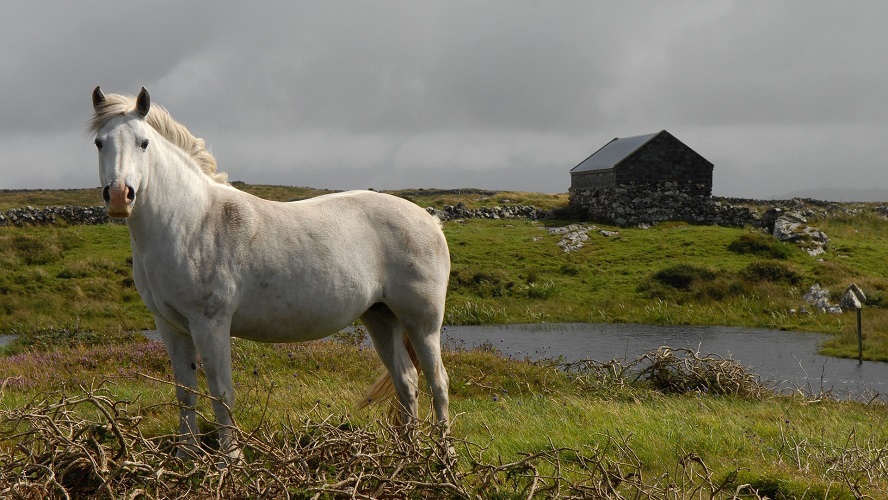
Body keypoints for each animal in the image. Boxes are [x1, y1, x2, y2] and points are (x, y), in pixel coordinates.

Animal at [90, 86, 451, 459]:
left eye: (143, 142)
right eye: (99, 142)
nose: (119, 197)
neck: (191, 221)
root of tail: (431, 221)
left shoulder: (210, 324)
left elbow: (221, 393)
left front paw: (229, 461)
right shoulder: (171, 327)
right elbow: (185, 394)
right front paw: (185, 457)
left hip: (422, 324)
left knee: (438, 382)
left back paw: (444, 457)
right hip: (381, 318)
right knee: (406, 382)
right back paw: (406, 455)